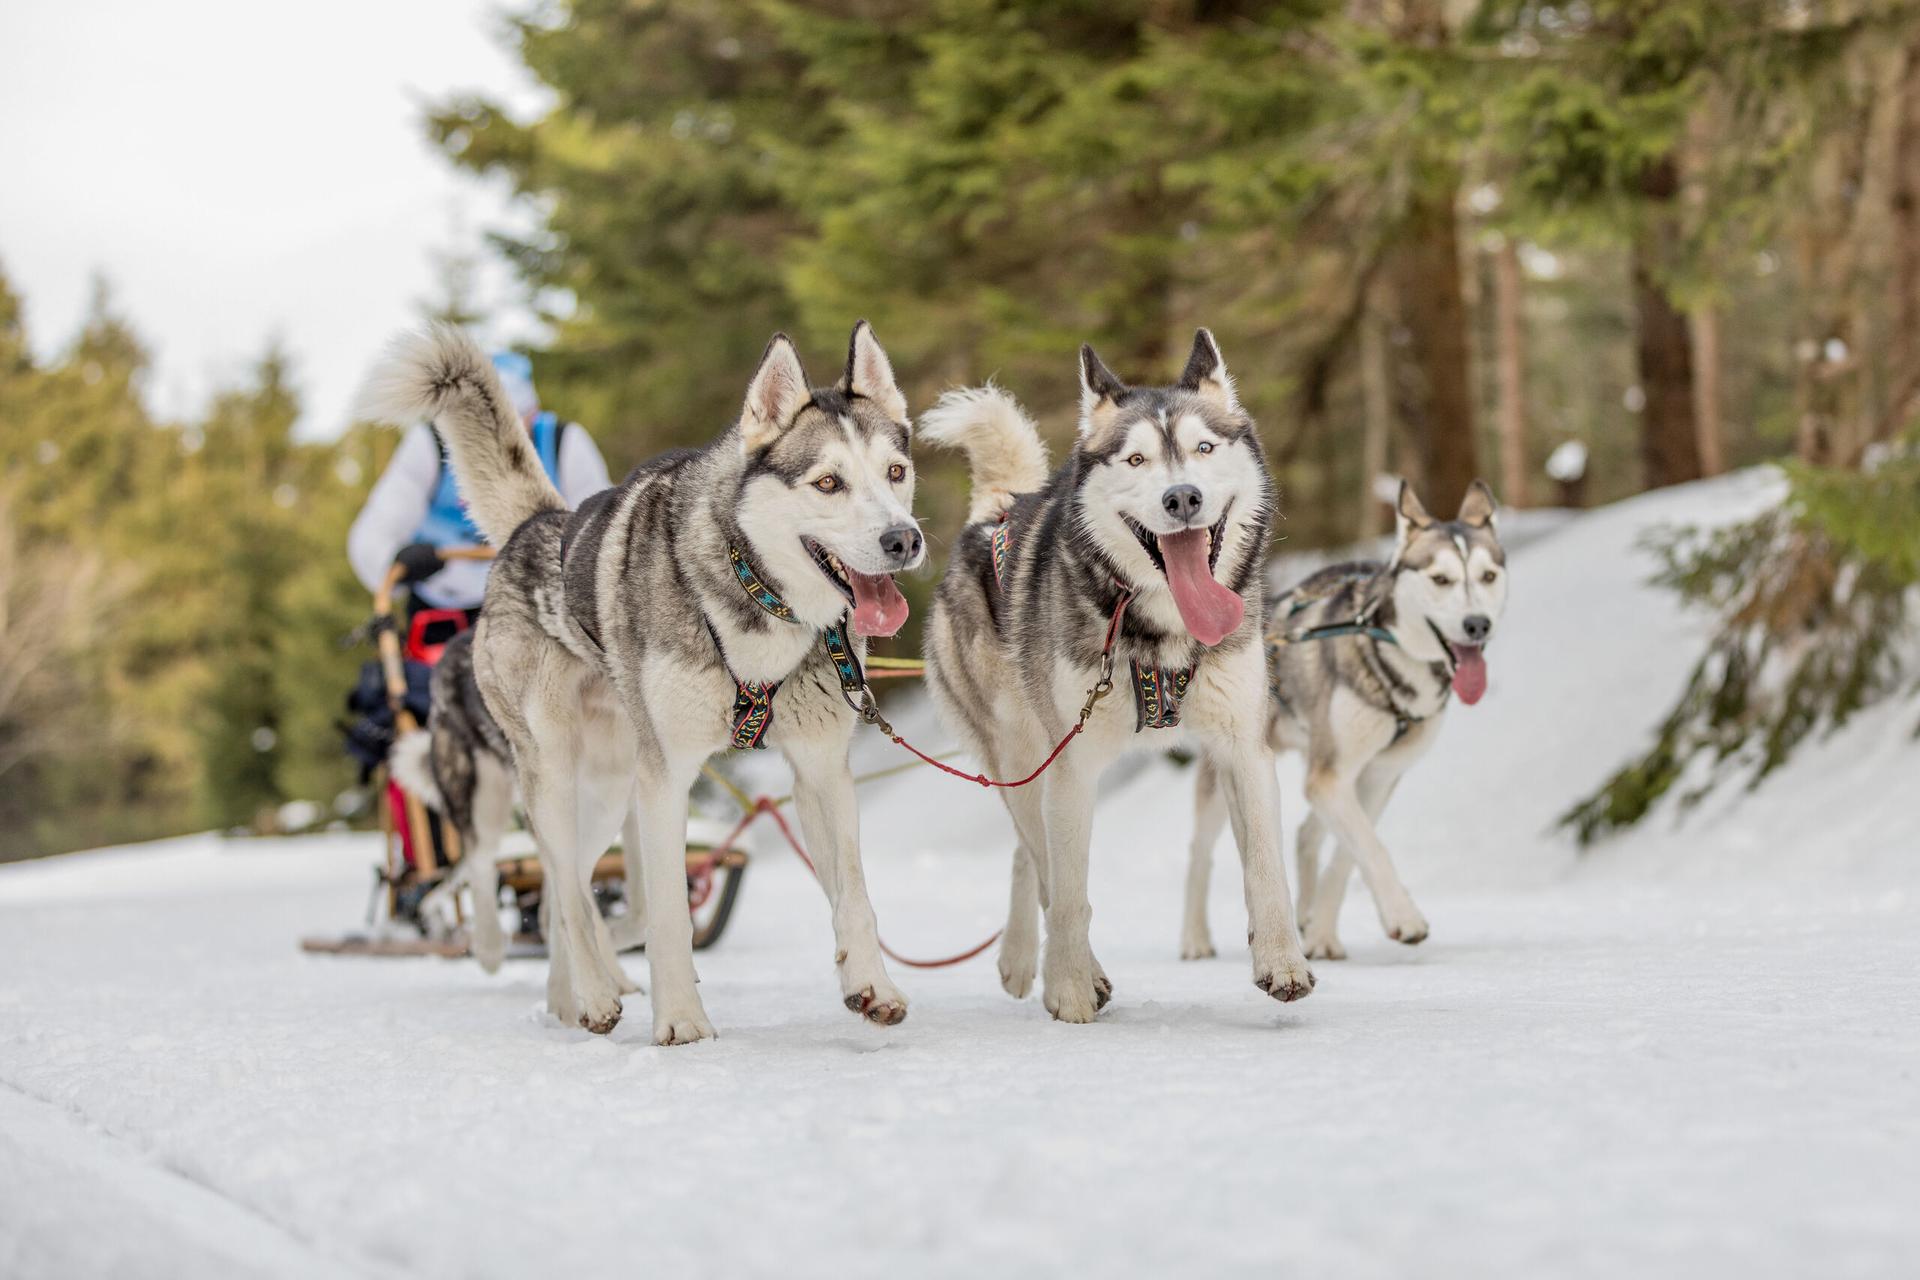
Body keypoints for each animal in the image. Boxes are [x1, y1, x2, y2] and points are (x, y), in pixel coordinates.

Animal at [368, 326, 929, 1043]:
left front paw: (871, 985)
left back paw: (570, 997)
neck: (752, 595)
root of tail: (534, 527)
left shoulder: (821, 767)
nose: (903, 540)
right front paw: (682, 1023)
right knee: (556, 890)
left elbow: (853, 893)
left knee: (564, 893)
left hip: (609, 790)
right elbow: (667, 917)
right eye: (828, 482)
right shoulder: (666, 780)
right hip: (553, 773)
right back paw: (584, 990)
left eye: (895, 472)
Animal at [917, 330, 1313, 1020]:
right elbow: (1069, 893)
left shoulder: (1243, 748)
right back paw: (1047, 964)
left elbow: (1266, 866)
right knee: (1038, 857)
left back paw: (1020, 959)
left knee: (1025, 852)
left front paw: (1281, 961)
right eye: (1135, 460)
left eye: (1204, 448)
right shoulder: (1072, 766)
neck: (1166, 637)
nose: (1182, 498)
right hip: (1019, 753)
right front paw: (1072, 989)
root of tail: (995, 513)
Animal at [1175, 479, 1505, 959]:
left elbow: (1351, 853)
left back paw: (1308, 919)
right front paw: (1405, 917)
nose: (1477, 624)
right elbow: (1371, 846)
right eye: (1440, 579)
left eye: (1488, 576)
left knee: (1307, 834)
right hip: (1230, 771)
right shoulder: (1330, 778)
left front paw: (1324, 934)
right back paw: (1195, 939)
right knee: (1200, 852)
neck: (1388, 654)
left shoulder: (1378, 775)